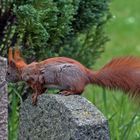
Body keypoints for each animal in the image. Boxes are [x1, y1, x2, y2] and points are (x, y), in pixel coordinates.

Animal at [6, 47, 140, 104]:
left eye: (8, 73)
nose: (6, 79)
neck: (25, 70)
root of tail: (86, 74)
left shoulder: (37, 78)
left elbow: (39, 89)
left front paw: (34, 96)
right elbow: (43, 90)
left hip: (67, 76)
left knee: (80, 90)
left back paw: (68, 92)